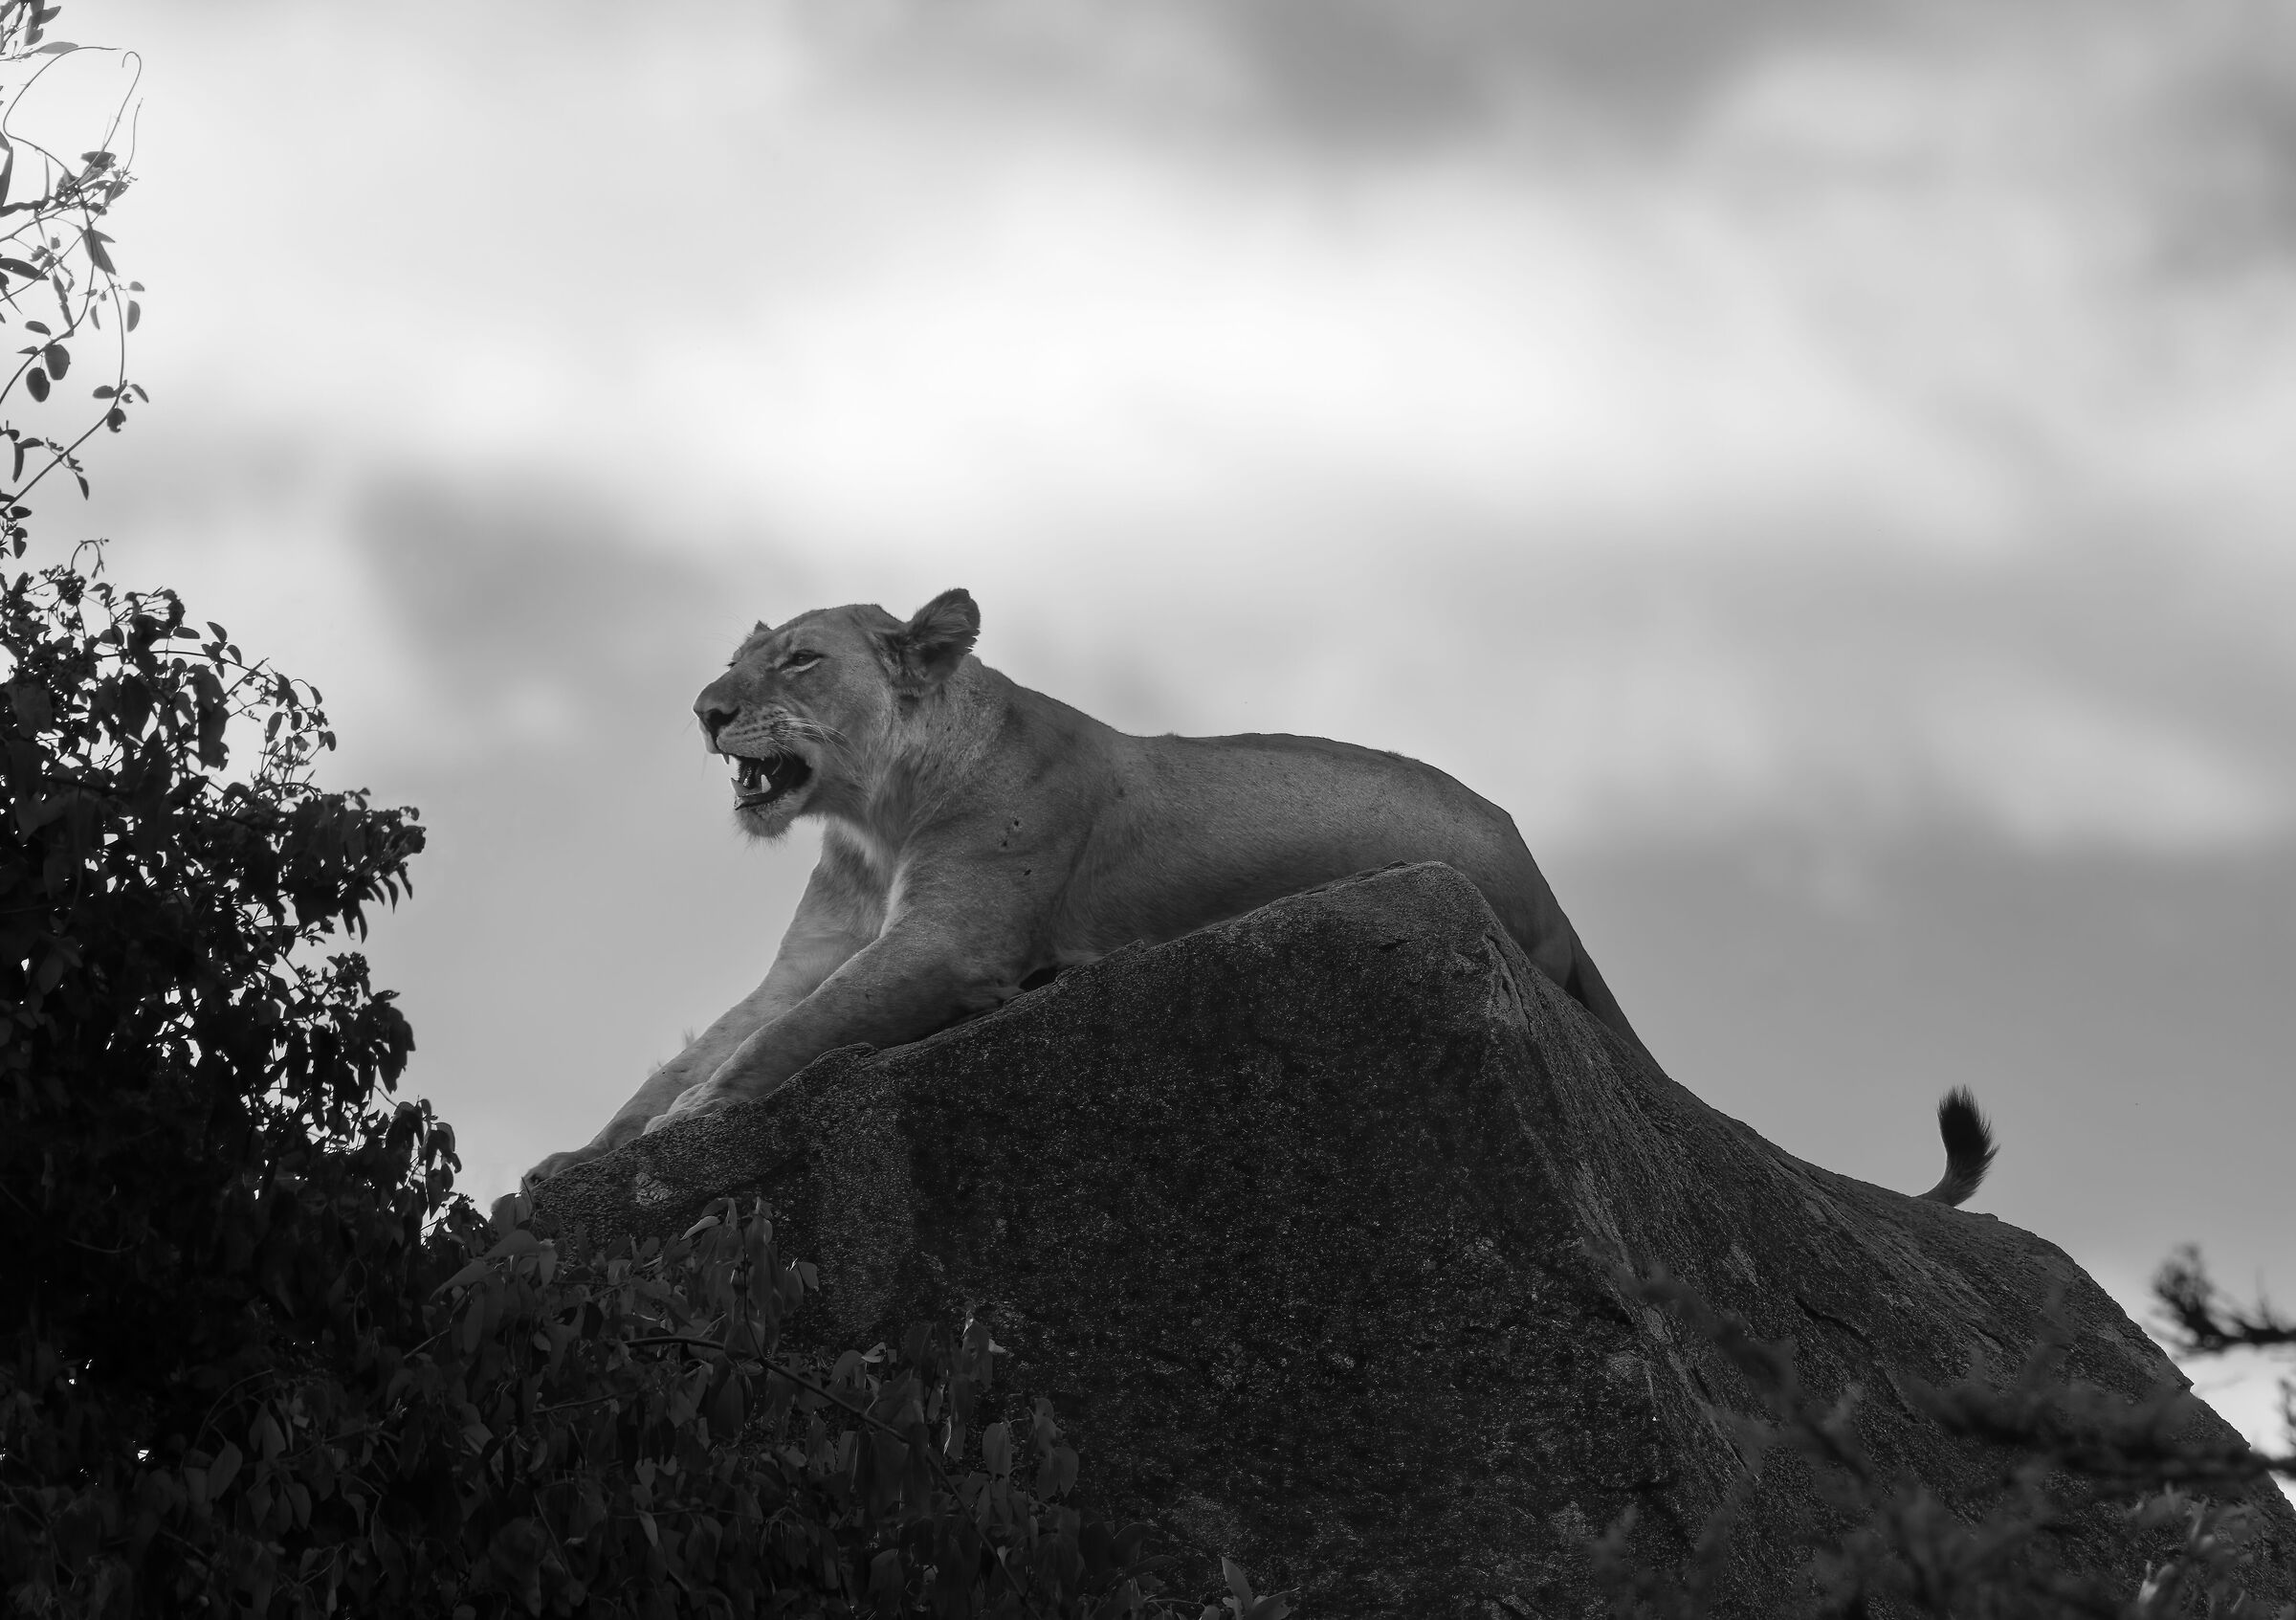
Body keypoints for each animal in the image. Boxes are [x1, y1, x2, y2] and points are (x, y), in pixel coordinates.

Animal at [519, 589, 1996, 1209]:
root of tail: (1550, 887)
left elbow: (783, 1041)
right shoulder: (818, 946)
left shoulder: (956, 940)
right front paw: (578, 1157)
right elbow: (706, 1043)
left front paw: (682, 1136)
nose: (705, 709)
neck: (871, 820)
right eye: (743, 654)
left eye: (800, 661)